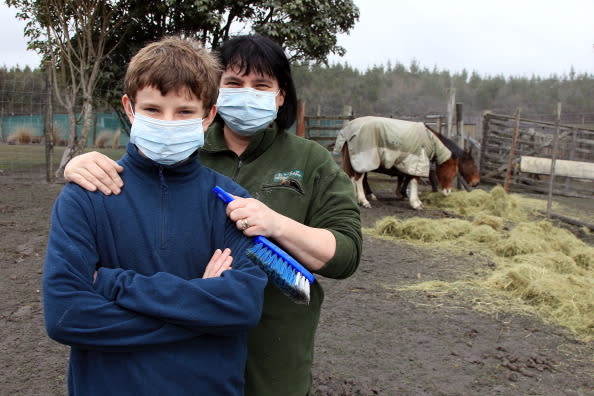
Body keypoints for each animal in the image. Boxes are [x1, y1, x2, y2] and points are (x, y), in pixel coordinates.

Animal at [336, 116, 478, 210]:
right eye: (471, 165)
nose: (476, 183)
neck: (429, 139)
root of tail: (350, 130)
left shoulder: (408, 164)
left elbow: (406, 179)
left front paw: (404, 195)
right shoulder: (416, 162)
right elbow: (414, 180)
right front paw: (415, 202)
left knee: (352, 177)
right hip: (365, 160)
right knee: (359, 179)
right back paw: (364, 200)